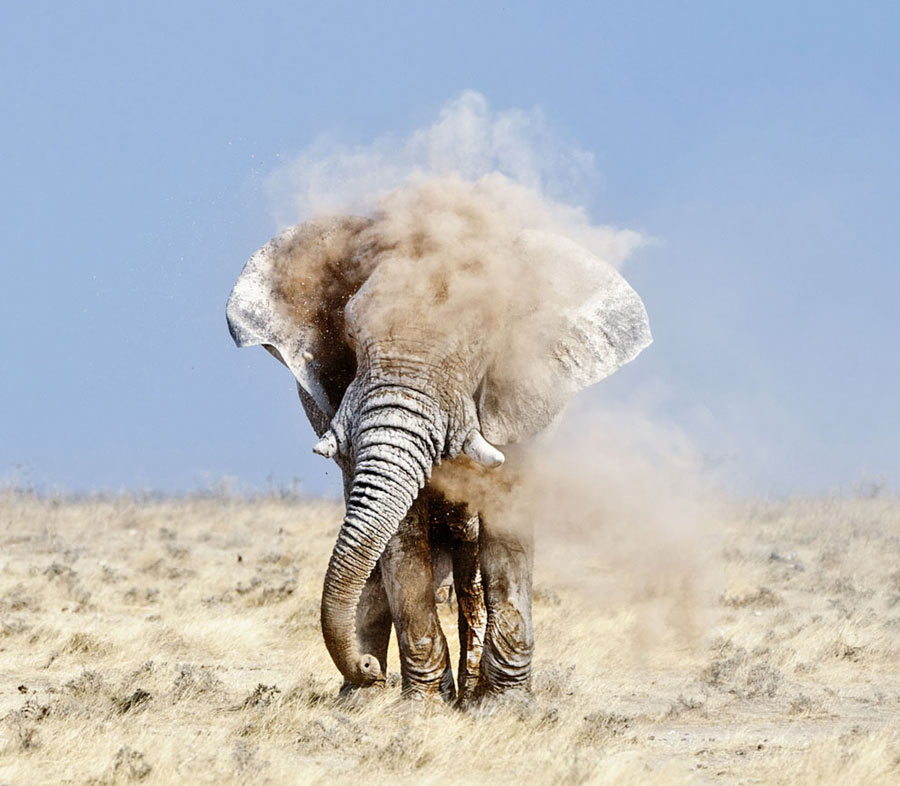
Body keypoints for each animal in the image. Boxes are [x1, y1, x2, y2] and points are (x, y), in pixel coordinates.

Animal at [223, 179, 648, 704]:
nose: (366, 667)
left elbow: (505, 524)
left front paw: (502, 708)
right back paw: (361, 699)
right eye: (350, 335)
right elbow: (400, 536)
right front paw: (422, 706)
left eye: (480, 348)